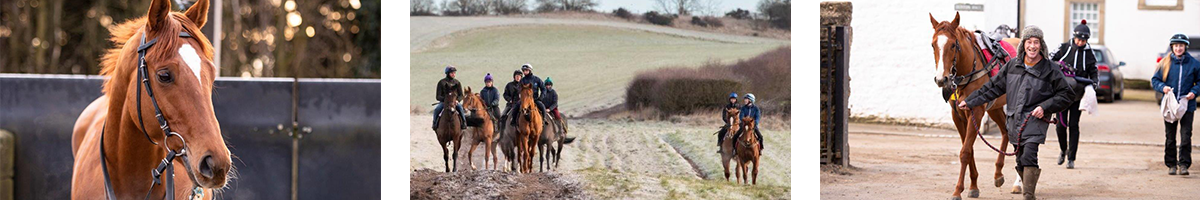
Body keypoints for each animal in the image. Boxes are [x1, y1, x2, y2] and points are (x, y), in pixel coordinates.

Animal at [931, 12, 1017, 200]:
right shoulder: (957, 115)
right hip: (995, 108)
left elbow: (965, 152)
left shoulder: (975, 112)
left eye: (953, 45)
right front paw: (973, 186)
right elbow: (968, 149)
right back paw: (998, 173)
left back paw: (1019, 183)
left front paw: (957, 190)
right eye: (933, 44)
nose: (941, 79)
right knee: (1006, 132)